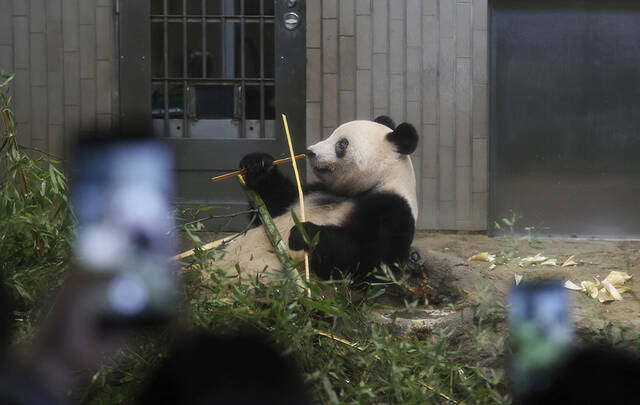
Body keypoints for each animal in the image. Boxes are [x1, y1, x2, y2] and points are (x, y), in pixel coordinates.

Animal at [212, 117, 418, 280]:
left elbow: (371, 263)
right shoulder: (313, 191)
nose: (310, 152)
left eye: (342, 144)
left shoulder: (393, 209)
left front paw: (303, 232)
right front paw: (257, 164)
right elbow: (272, 206)